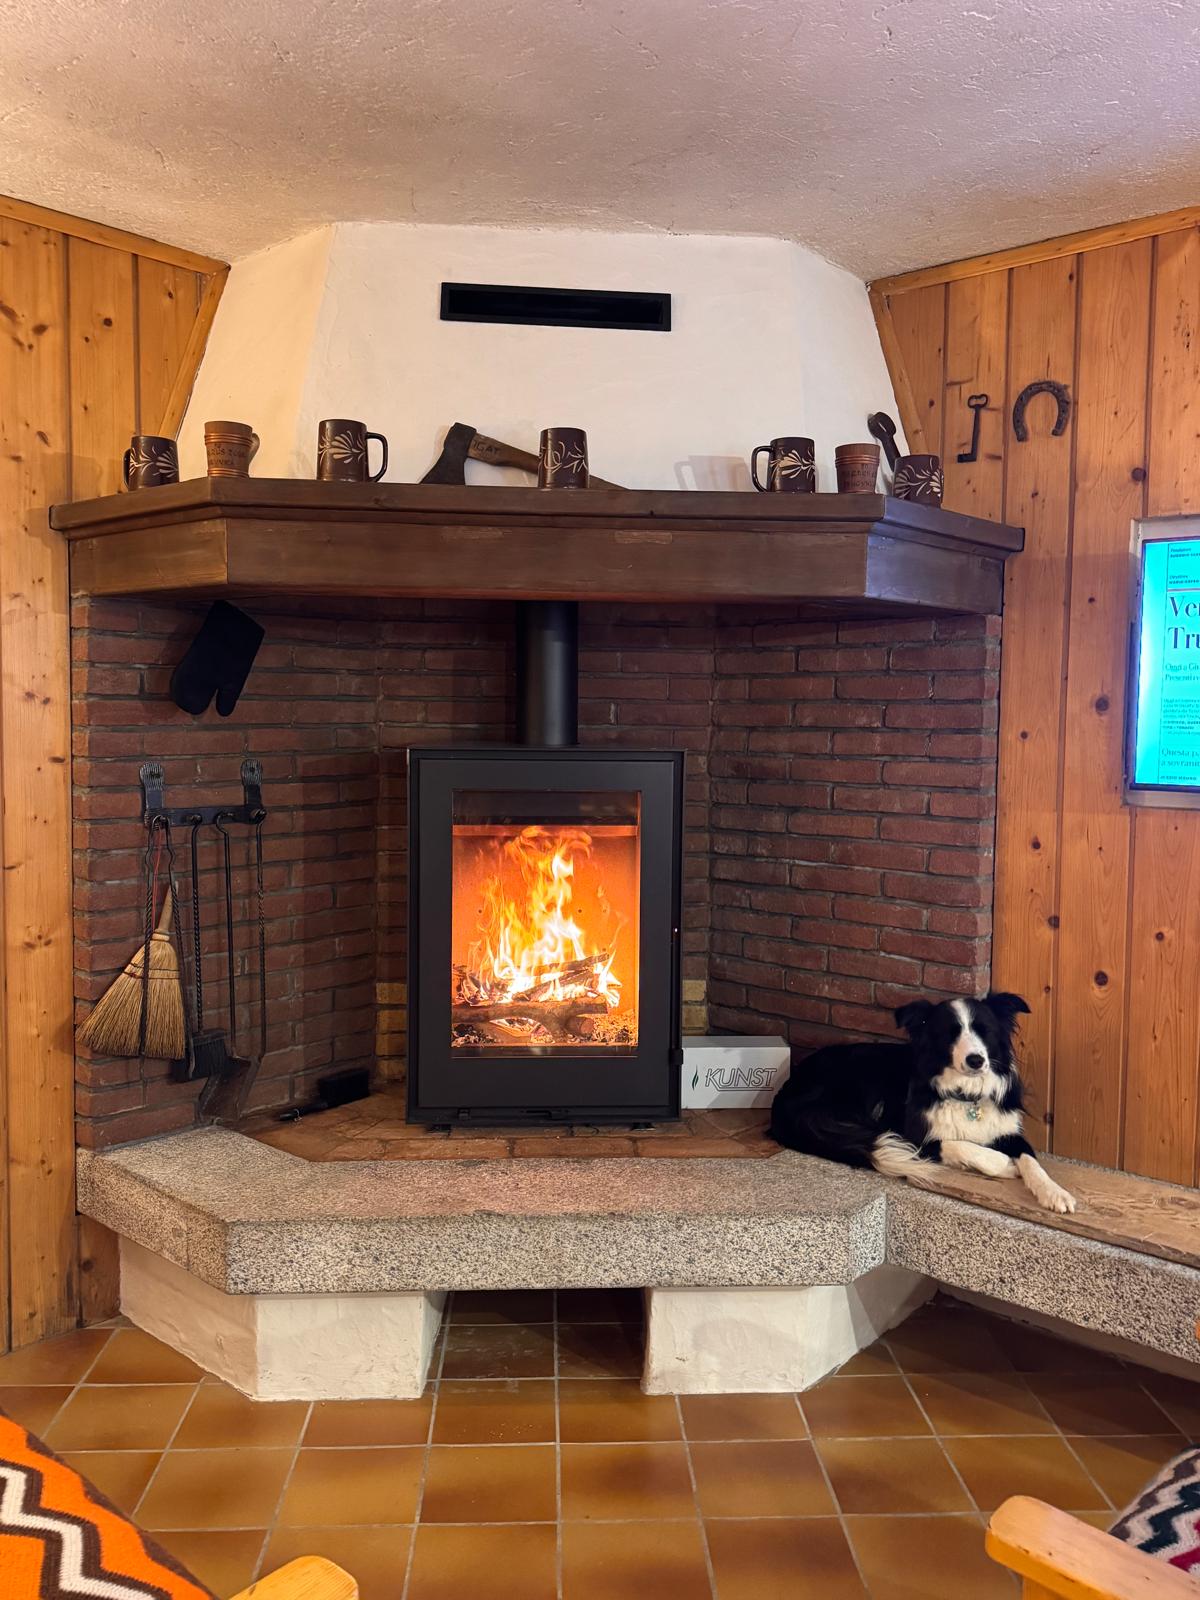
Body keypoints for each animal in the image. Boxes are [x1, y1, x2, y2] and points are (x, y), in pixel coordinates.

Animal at [769, 992, 1077, 1214]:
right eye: (951, 1033)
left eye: (984, 1030)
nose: (976, 1060)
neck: (966, 1096)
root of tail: (786, 1089)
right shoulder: (913, 1136)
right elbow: (960, 1144)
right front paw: (1003, 1165)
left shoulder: (1009, 1131)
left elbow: (1032, 1162)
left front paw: (1055, 1193)